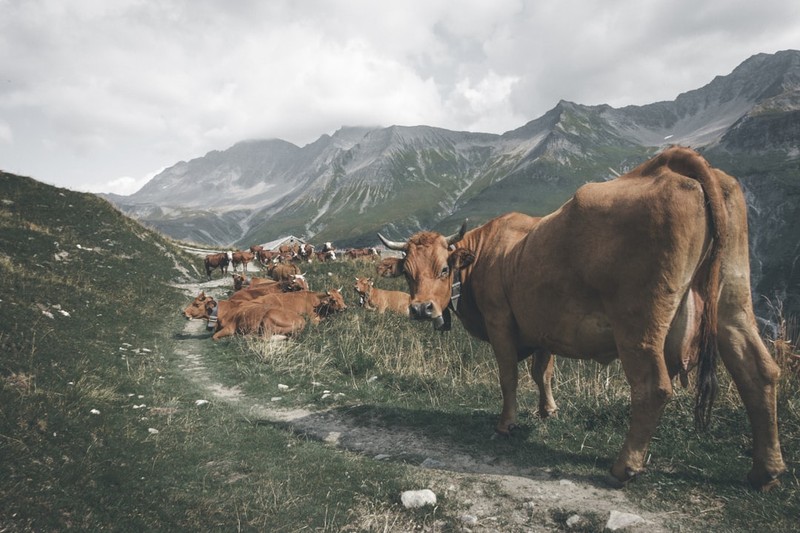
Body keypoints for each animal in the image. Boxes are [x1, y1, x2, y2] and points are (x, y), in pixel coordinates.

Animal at [378, 146, 786, 491]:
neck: (484, 254)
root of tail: (673, 163)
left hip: (639, 323)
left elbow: (509, 376)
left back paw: (624, 467)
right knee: (758, 372)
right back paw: (764, 471)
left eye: (444, 268)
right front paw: (548, 410)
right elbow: (542, 371)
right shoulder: (543, 326)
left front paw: (507, 423)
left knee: (653, 387)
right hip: (733, 300)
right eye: (408, 274)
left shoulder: (500, 322)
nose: (421, 309)